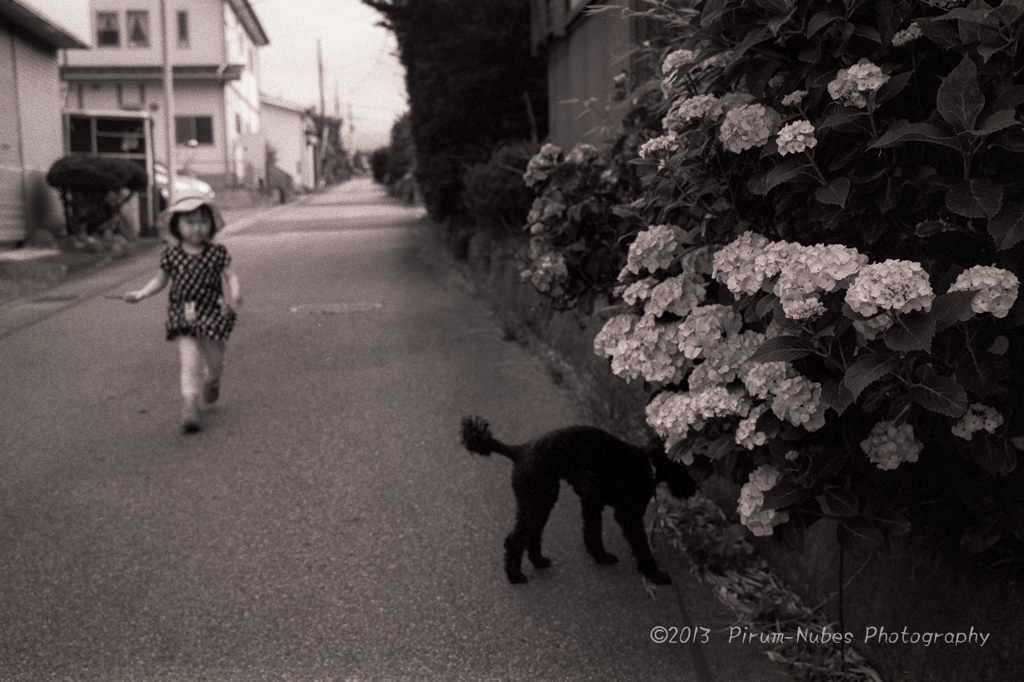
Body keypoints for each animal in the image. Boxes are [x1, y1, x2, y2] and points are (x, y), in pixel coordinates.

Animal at [462, 413, 696, 585]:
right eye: (684, 466)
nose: (693, 489)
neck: (647, 463)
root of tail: (518, 450)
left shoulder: (592, 501)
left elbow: (592, 533)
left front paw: (601, 557)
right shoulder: (628, 515)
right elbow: (641, 547)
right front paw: (655, 575)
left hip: (541, 499)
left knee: (533, 533)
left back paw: (539, 561)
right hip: (537, 499)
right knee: (515, 538)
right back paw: (514, 575)